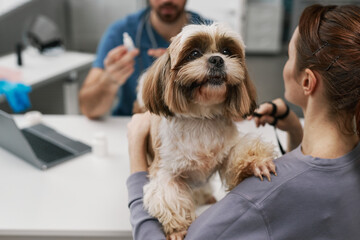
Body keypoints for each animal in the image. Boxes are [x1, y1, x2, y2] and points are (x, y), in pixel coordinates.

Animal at [136, 23, 278, 239]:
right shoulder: (165, 171)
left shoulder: (227, 152)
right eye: (194, 53)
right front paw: (178, 230)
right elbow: (169, 198)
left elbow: (239, 155)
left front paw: (256, 163)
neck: (201, 118)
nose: (217, 59)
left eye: (226, 51)